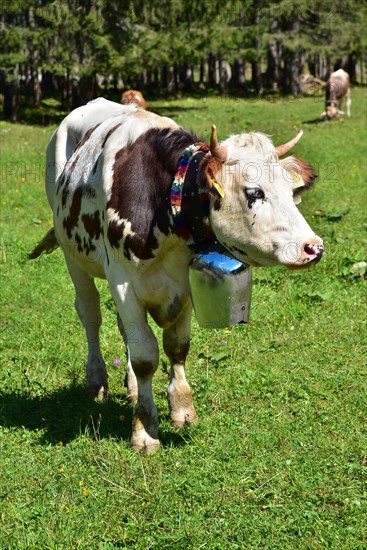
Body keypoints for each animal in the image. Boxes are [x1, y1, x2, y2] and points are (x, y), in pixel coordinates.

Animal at [30, 98, 324, 452]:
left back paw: (131, 386)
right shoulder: (123, 282)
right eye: (254, 192)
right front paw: (144, 430)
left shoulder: (182, 283)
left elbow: (176, 346)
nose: (313, 247)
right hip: (72, 254)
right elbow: (145, 356)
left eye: (291, 191)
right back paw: (97, 379)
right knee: (91, 315)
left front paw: (182, 409)